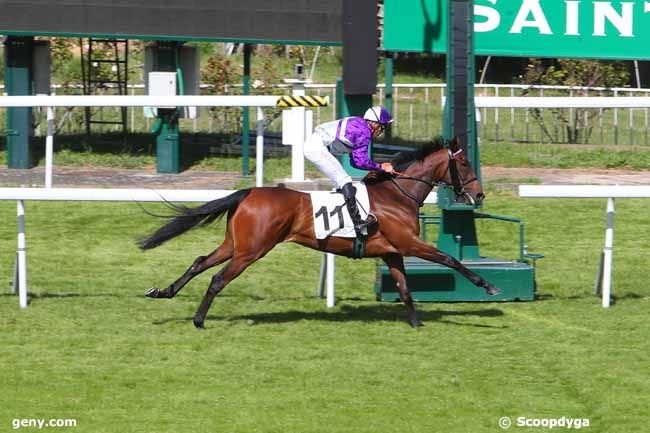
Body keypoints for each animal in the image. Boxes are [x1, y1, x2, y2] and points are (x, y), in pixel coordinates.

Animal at [139, 138, 498, 328]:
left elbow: (405, 289)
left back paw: (164, 292)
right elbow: (450, 259)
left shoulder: (393, 252)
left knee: (200, 261)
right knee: (217, 278)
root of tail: (249, 192)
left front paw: (416, 323)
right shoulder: (410, 244)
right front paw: (488, 286)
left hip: (236, 244)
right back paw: (199, 319)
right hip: (252, 250)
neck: (398, 195)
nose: (479, 194)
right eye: (464, 163)